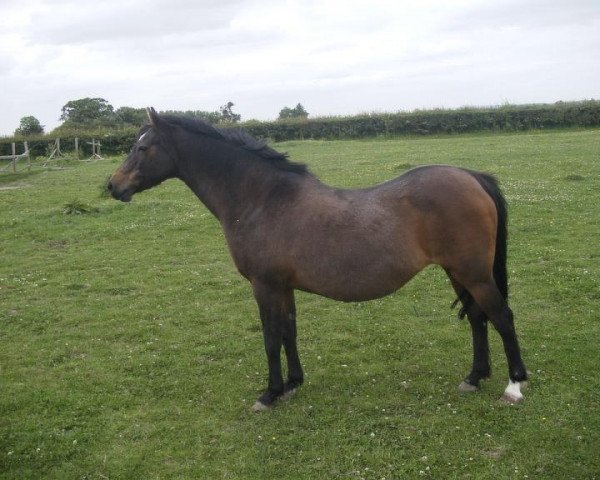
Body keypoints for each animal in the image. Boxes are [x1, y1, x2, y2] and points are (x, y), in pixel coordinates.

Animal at [109, 109, 528, 412]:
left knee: (502, 317)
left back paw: (514, 386)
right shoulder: (283, 287)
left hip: (473, 273)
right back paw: (474, 377)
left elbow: (270, 338)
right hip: (458, 272)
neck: (263, 199)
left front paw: (269, 394)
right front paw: (293, 384)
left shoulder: (264, 286)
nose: (113, 186)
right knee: (478, 318)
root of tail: (471, 177)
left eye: (143, 148)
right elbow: (288, 332)